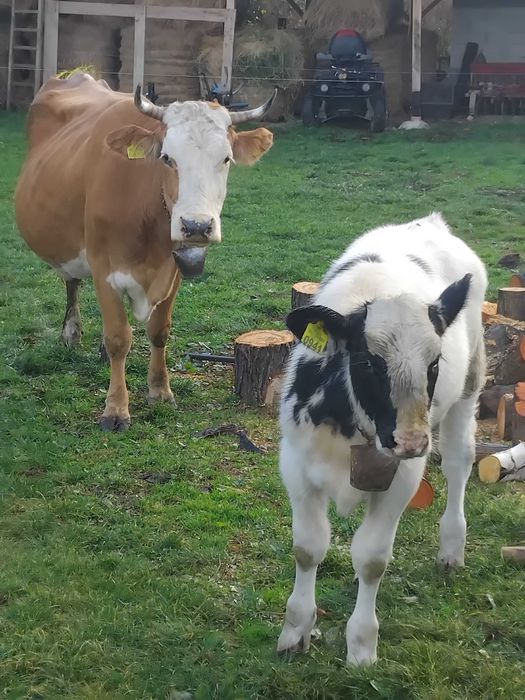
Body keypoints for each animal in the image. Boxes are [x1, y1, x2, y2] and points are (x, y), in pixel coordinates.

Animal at [15, 72, 274, 431]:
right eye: (167, 158)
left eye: (226, 159)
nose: (196, 226)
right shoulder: (103, 268)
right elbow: (118, 338)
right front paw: (115, 409)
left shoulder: (176, 268)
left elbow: (159, 332)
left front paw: (160, 390)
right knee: (72, 281)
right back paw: (71, 332)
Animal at [276, 213, 487, 665]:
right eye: (368, 362)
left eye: (435, 362)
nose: (411, 441)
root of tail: (429, 222)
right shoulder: (296, 466)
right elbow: (308, 547)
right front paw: (296, 630)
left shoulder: (402, 478)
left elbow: (371, 560)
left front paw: (361, 645)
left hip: (469, 388)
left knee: (459, 463)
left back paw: (452, 548)